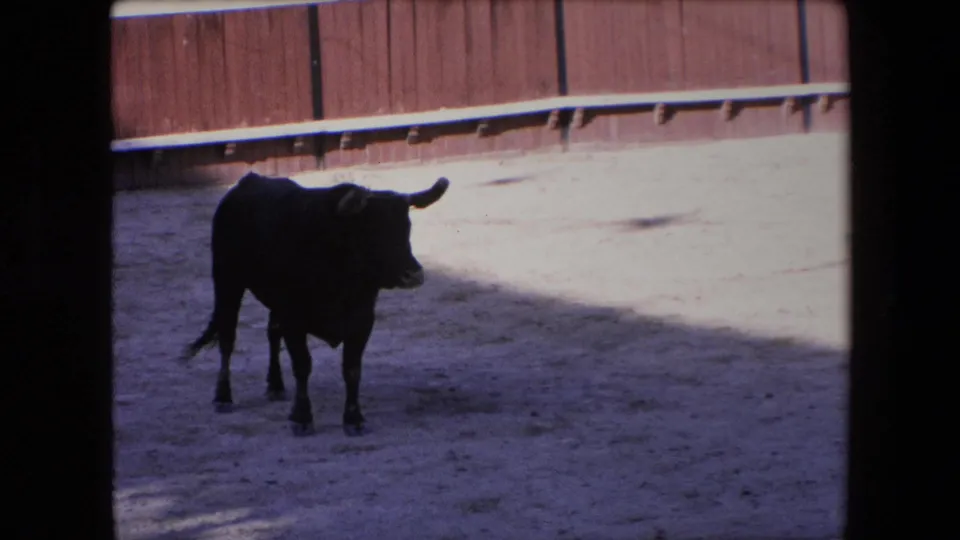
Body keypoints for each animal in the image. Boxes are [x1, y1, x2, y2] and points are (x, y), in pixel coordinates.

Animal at [181, 171, 450, 437]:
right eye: (372, 231)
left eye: (407, 228)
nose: (413, 275)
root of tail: (247, 182)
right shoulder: (293, 318)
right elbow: (302, 364)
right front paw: (301, 418)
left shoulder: (362, 319)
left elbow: (352, 369)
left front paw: (353, 419)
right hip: (227, 281)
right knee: (227, 339)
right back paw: (223, 397)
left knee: (272, 333)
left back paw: (275, 385)